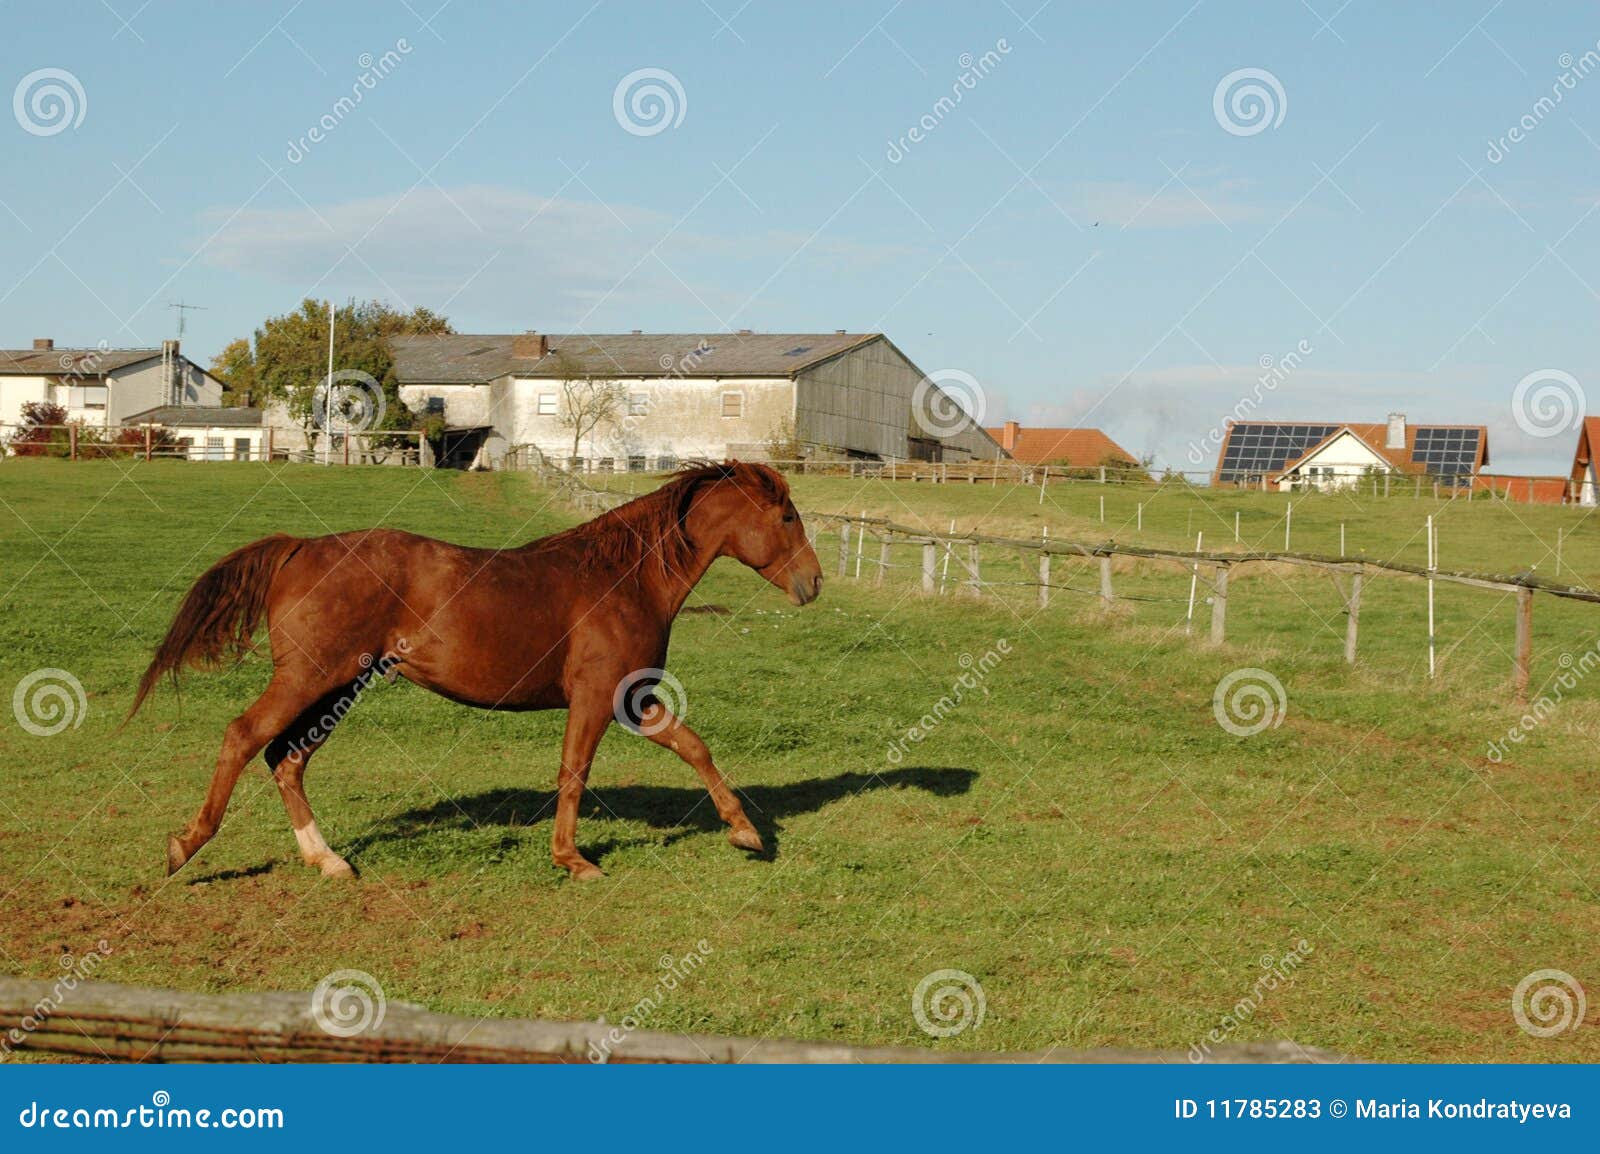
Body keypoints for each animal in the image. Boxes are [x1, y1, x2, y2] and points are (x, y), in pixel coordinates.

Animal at [128, 461, 824, 882]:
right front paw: (573, 860)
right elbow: (574, 774)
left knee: (286, 758)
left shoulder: (632, 699)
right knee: (245, 737)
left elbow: (694, 747)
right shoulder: (596, 698)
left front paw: (745, 832)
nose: (814, 584)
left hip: (338, 687)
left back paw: (327, 861)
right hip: (309, 679)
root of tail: (299, 548)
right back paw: (185, 845)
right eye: (788, 516)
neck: (624, 578)